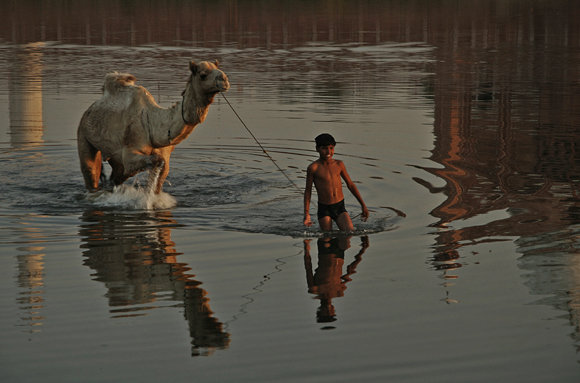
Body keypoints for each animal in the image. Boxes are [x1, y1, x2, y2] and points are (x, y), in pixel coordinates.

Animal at [76, 60, 229, 195]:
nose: (224, 80)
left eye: (219, 69)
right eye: (202, 75)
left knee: (115, 176)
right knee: (90, 171)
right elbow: (152, 161)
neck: (154, 125)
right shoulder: (130, 152)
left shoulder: (164, 158)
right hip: (83, 133)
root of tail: (89, 110)